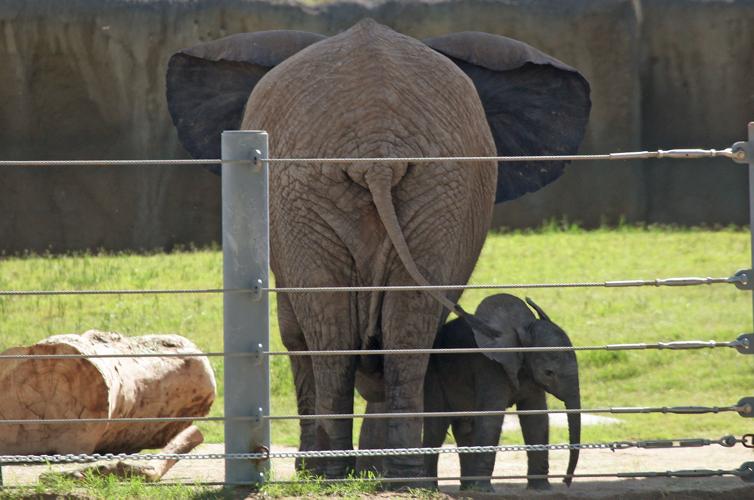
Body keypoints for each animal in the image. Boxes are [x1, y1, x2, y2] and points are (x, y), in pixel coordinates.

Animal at [356, 294, 581, 491]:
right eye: (549, 372)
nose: (566, 481)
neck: (522, 330)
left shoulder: (528, 373)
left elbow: (537, 419)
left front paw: (541, 489)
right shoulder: (490, 368)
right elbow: (491, 419)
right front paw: (485, 491)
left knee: (464, 427)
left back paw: (467, 486)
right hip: (433, 376)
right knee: (437, 427)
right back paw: (432, 487)